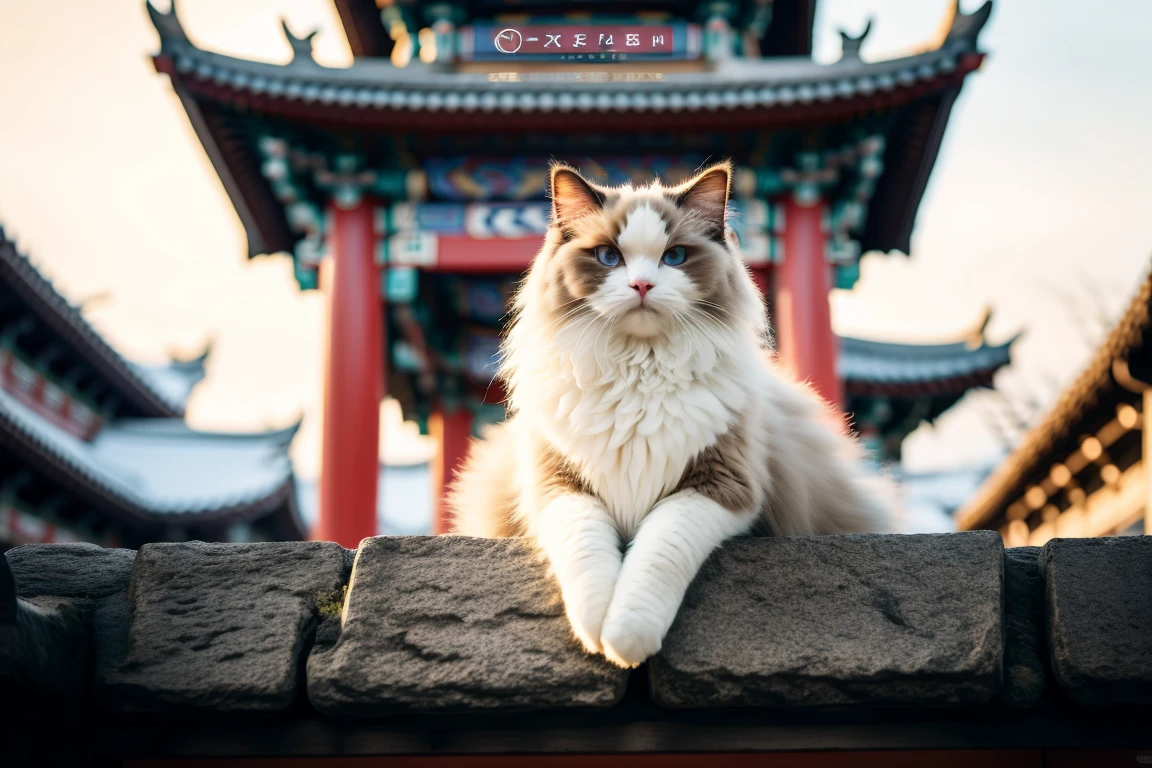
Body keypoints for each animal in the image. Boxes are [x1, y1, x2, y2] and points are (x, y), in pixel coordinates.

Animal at [444, 161, 884, 667]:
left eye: (674, 257)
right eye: (608, 257)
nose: (641, 285)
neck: (640, 371)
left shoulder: (720, 485)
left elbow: (657, 553)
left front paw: (625, 640)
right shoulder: (557, 485)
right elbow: (587, 557)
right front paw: (595, 630)